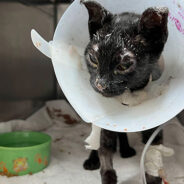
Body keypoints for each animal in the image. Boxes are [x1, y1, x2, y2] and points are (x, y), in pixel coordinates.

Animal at [82, 0, 168, 183]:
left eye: (123, 65)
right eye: (93, 59)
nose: (100, 84)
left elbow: (153, 151)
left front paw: (153, 177)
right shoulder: (106, 126)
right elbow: (104, 150)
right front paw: (106, 173)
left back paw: (126, 149)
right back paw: (92, 159)